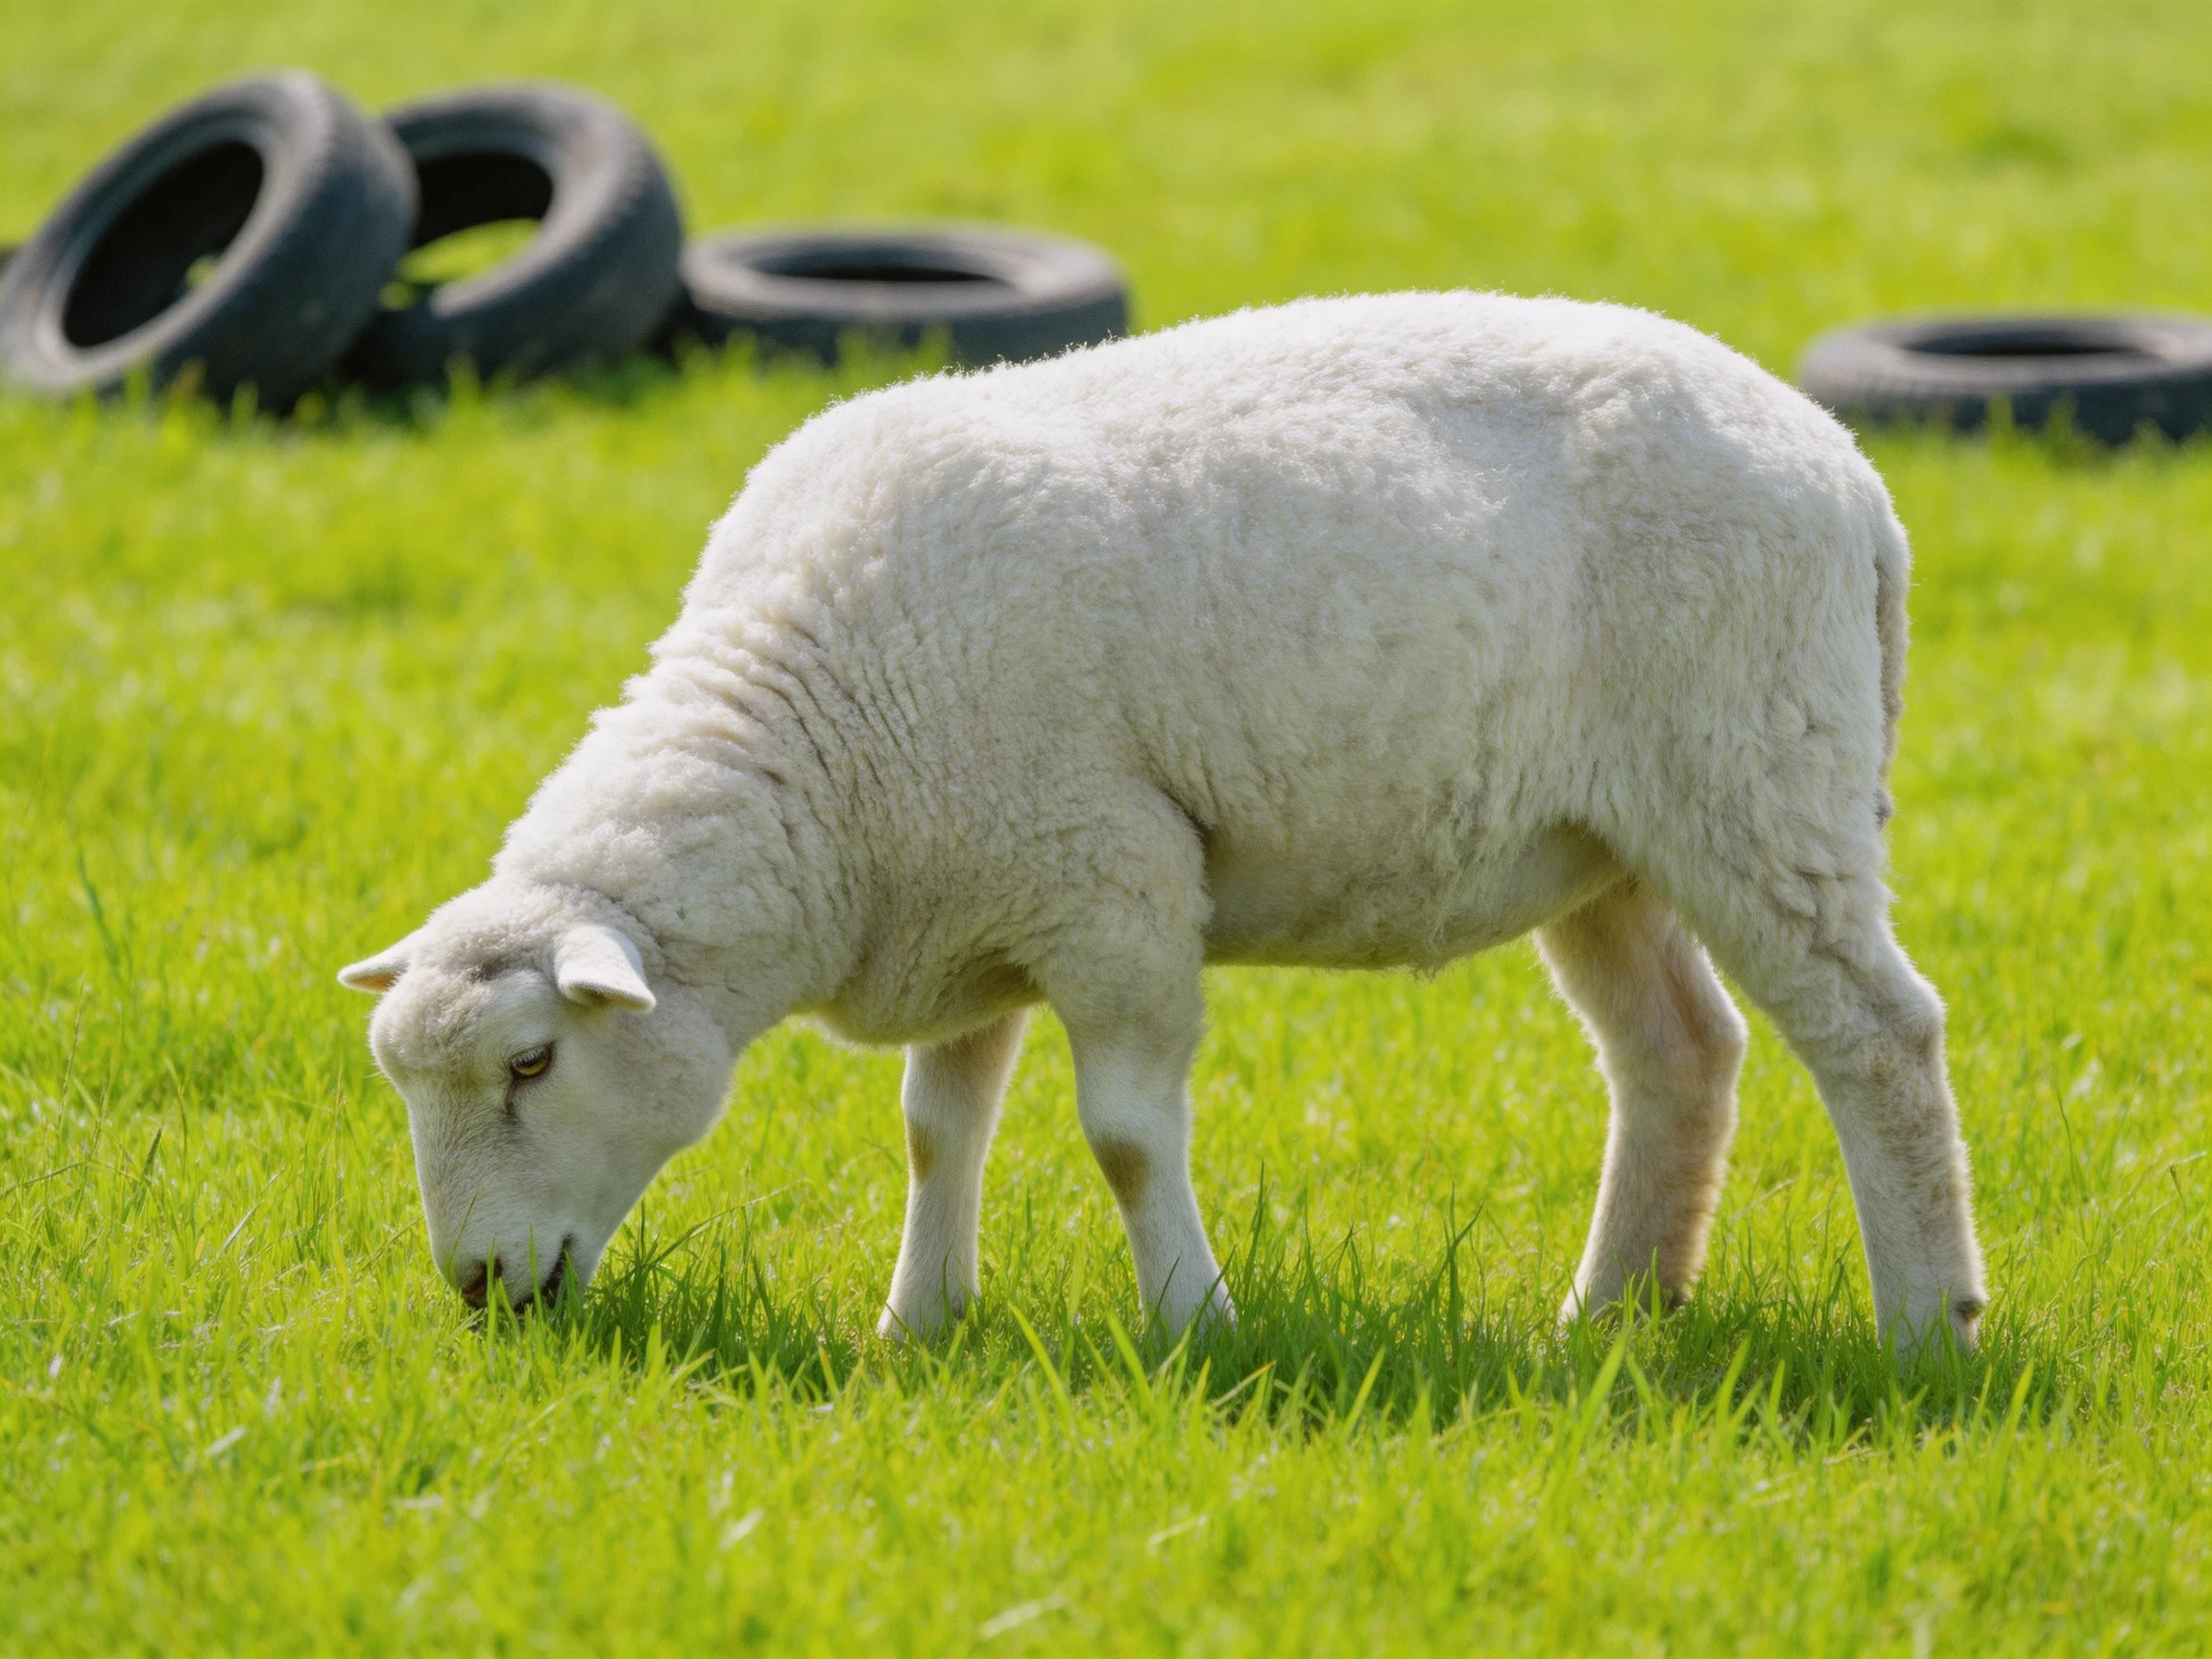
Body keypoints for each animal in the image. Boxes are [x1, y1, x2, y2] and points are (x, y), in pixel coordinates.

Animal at [339, 290, 1987, 1357]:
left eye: (532, 1062)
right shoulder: (974, 895)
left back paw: (1929, 1331)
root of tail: (1847, 469)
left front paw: (1195, 1326)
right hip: (1612, 840)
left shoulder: (1109, 881)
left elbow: (1128, 1140)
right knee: (1680, 1054)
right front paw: (916, 1328)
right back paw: (1609, 1318)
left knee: (1879, 1038)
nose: (477, 1292)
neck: (821, 740)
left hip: (1760, 775)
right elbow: (938, 1130)